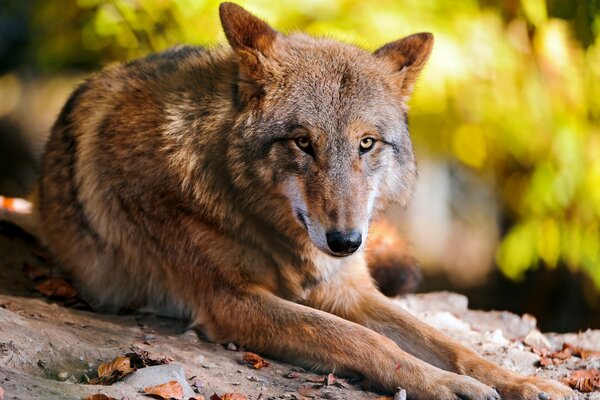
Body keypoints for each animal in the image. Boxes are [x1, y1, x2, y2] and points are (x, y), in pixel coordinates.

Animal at [36, 3, 576, 400]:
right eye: (302, 142)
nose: (346, 242)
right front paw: (445, 385)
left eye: (366, 144)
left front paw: (524, 382)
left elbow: (448, 341)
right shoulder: (232, 302)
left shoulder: (349, 290)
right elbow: (363, 338)